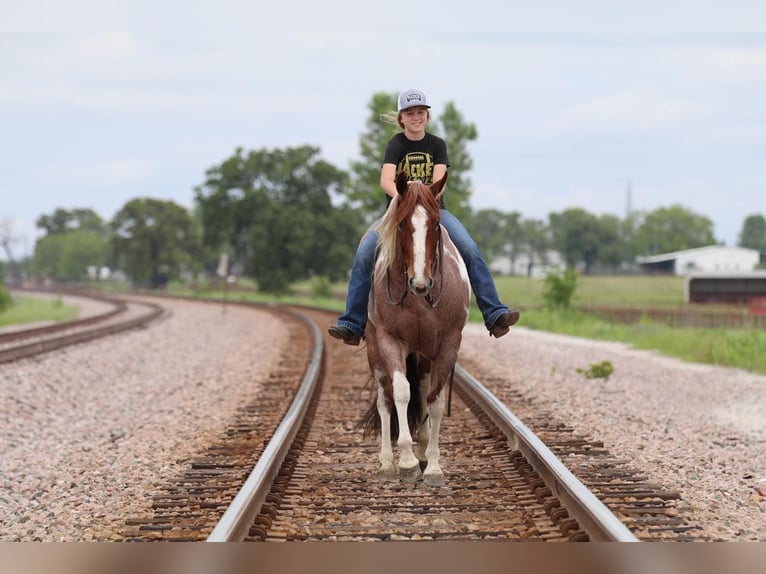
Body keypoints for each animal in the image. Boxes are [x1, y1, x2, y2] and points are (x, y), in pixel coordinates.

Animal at [362, 171, 474, 486]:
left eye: (435, 224)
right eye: (401, 224)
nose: (420, 283)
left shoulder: (448, 344)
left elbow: (433, 401)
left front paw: (433, 466)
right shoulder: (389, 340)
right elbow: (401, 392)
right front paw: (407, 461)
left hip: (424, 354)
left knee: (423, 392)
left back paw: (423, 450)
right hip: (375, 351)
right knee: (385, 399)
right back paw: (388, 463)